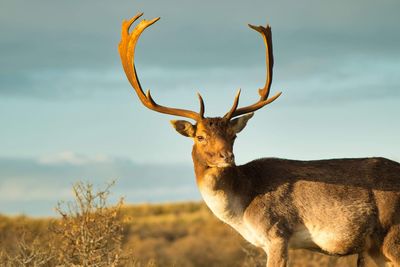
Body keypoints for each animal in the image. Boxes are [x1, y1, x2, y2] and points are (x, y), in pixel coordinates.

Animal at [118, 13, 400, 267]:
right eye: (200, 136)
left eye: (233, 135)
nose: (227, 156)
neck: (242, 209)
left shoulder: (276, 232)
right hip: (375, 248)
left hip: (392, 235)